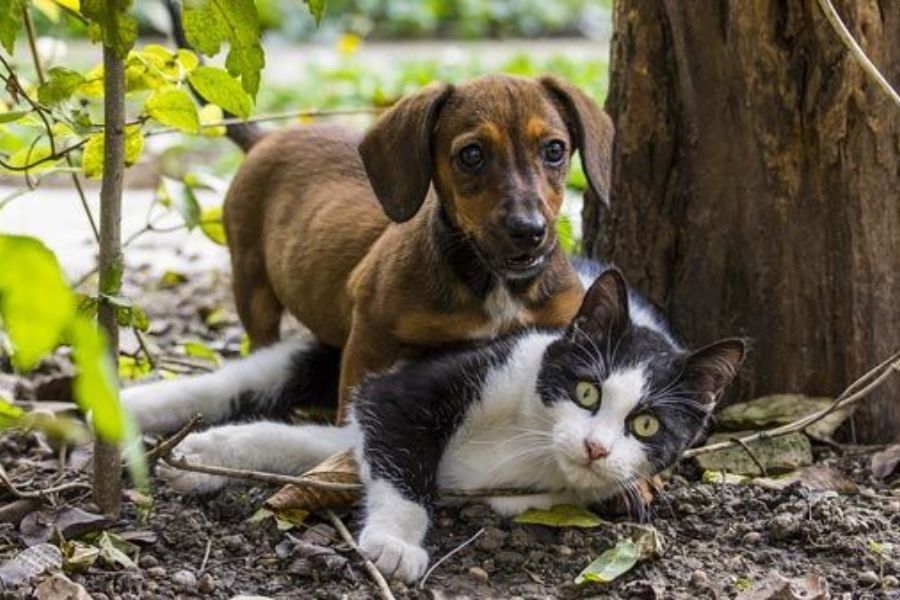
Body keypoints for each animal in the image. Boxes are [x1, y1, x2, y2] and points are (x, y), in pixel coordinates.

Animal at [125, 266, 744, 580]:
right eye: (586, 391)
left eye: (646, 426)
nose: (595, 448)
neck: (531, 438)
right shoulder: (413, 386)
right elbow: (401, 458)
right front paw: (395, 543)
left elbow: (324, 445)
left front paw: (210, 455)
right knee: (246, 377)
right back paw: (133, 409)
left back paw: (193, 454)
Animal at [225, 74, 616, 418]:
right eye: (471, 155)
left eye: (555, 150)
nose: (529, 231)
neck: (494, 284)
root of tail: (264, 139)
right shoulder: (369, 339)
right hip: (252, 286)